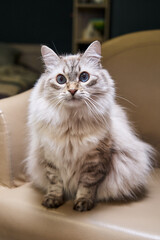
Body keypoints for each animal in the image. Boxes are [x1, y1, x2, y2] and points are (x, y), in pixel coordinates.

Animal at [26, 41, 154, 212]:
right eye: (61, 79)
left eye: (84, 77)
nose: (72, 90)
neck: (71, 124)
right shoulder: (51, 157)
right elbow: (55, 183)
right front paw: (53, 200)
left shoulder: (95, 161)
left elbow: (87, 185)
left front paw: (82, 203)